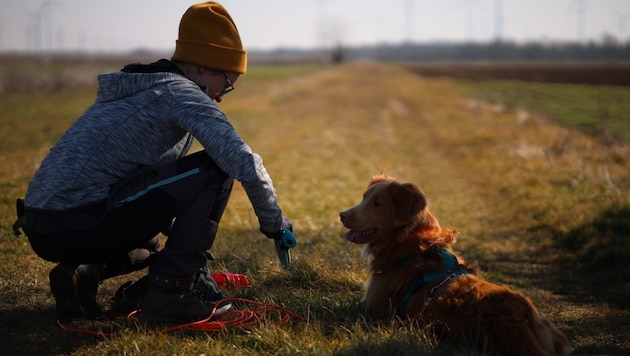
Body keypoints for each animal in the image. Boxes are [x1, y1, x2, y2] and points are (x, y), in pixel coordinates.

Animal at [344, 175, 572, 356]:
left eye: (378, 203)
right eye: (364, 197)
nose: (342, 215)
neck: (409, 243)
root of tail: (522, 320)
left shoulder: (373, 308)